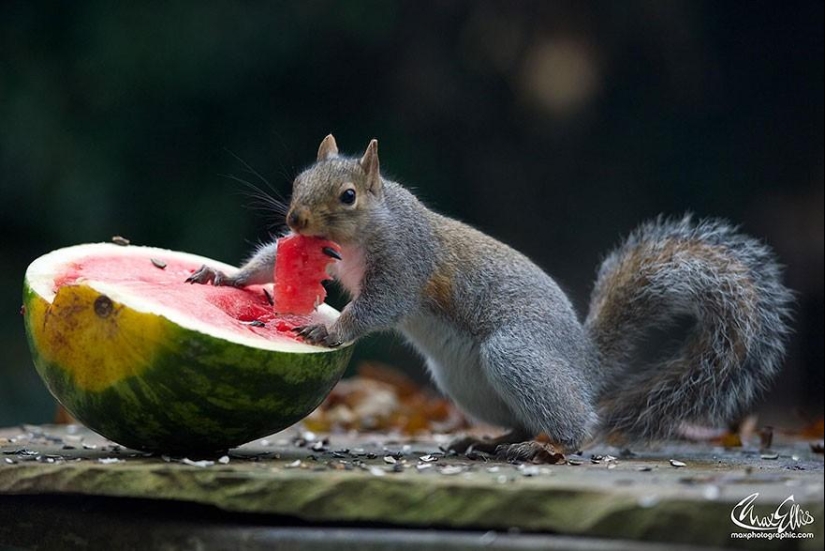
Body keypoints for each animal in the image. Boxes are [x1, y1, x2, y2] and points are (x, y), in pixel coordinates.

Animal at [187, 136, 792, 454]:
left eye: (349, 195)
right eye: (297, 182)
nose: (295, 218)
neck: (368, 231)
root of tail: (586, 364)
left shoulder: (405, 265)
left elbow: (378, 307)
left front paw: (327, 327)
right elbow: (274, 262)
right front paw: (229, 279)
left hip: (517, 354)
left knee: (576, 426)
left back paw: (544, 446)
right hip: (463, 380)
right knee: (524, 418)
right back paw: (490, 441)